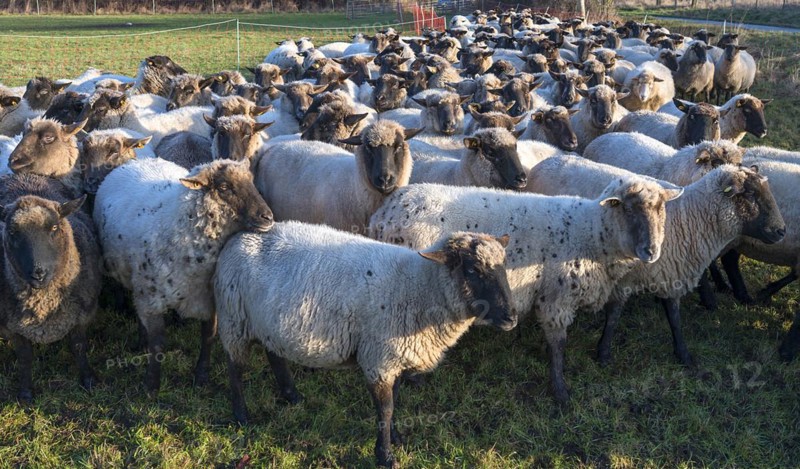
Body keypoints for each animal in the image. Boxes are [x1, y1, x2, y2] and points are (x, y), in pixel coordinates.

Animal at [0, 192, 101, 401]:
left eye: (54, 227)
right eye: (12, 232)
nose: (38, 273)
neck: (45, 304)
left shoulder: (82, 315)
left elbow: (78, 346)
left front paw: (89, 379)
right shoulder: (11, 327)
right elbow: (24, 357)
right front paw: (25, 392)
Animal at [93, 158, 274, 393]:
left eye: (251, 181)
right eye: (224, 187)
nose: (268, 217)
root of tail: (138, 160)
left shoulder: (208, 299)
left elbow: (208, 335)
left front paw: (202, 376)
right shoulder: (151, 299)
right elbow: (158, 343)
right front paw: (151, 385)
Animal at [214, 223, 516, 467]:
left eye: (503, 266)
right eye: (473, 270)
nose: (511, 317)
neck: (420, 287)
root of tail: (239, 237)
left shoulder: (394, 358)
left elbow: (395, 400)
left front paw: (396, 437)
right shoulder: (378, 359)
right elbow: (386, 407)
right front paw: (385, 455)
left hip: (267, 323)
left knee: (274, 354)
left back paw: (291, 395)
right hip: (234, 319)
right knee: (235, 368)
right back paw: (241, 415)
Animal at [369, 176, 683, 404]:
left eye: (661, 209)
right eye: (628, 209)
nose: (651, 251)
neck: (591, 233)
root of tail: (383, 215)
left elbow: (611, 317)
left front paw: (602, 356)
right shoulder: (556, 298)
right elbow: (558, 346)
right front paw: (560, 393)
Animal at [528, 158, 784, 366]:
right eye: (750, 195)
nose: (781, 231)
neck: (690, 218)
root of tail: (546, 162)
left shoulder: (671, 271)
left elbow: (674, 317)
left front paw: (683, 354)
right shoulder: (625, 279)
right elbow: (614, 315)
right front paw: (604, 353)